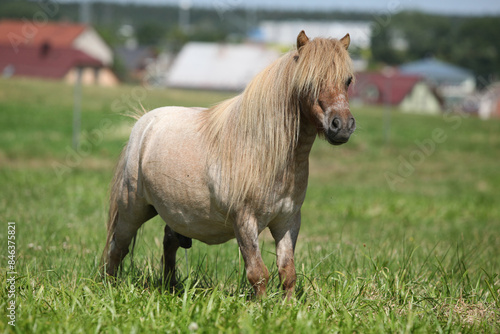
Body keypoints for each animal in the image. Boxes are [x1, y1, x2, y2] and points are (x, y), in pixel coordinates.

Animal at [100, 30, 356, 298]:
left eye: (347, 80)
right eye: (310, 81)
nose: (342, 125)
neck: (265, 152)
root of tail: (143, 123)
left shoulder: (288, 221)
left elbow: (287, 273)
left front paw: (288, 305)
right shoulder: (244, 221)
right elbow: (258, 273)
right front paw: (262, 305)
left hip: (174, 213)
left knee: (169, 242)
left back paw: (171, 287)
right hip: (133, 209)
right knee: (118, 247)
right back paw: (110, 287)